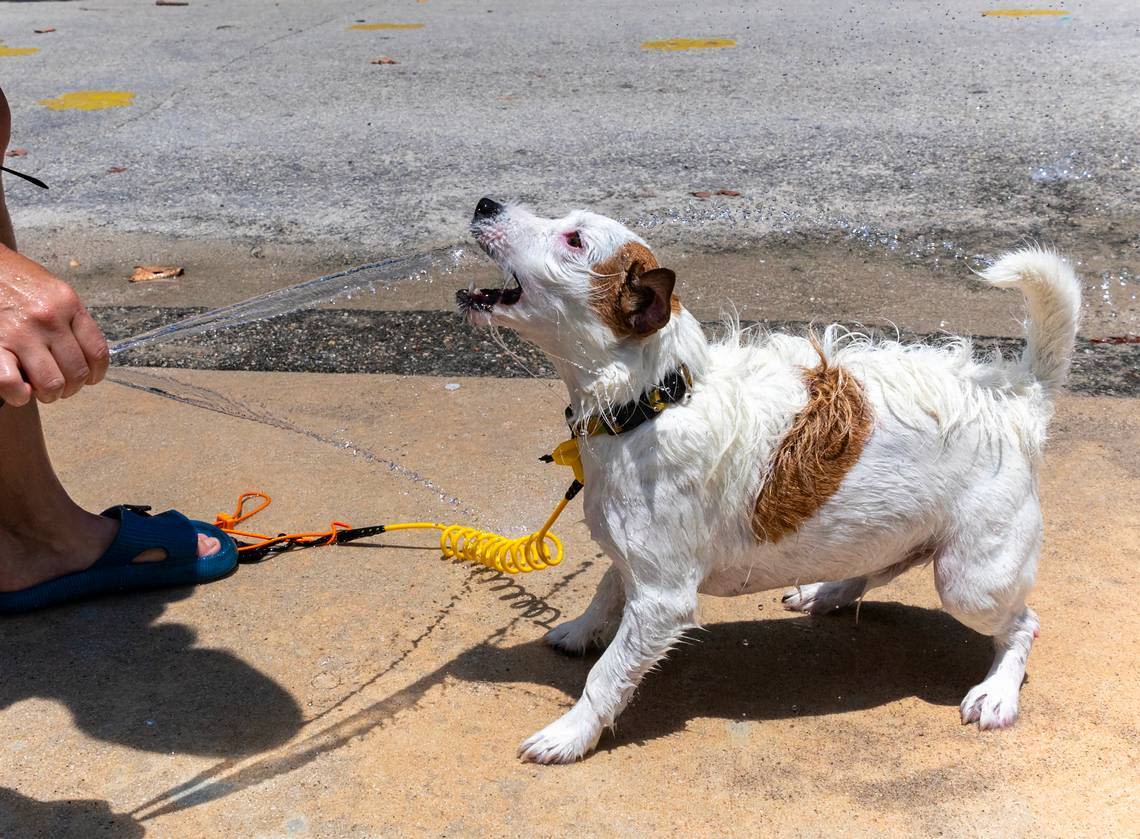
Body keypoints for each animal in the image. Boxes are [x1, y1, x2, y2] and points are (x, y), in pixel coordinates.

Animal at [456, 198, 1076, 766]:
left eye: (574, 240)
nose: (486, 203)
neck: (653, 401)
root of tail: (1015, 400)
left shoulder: (662, 600)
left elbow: (608, 676)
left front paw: (570, 733)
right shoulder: (639, 562)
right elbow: (607, 587)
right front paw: (583, 630)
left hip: (971, 581)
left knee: (1023, 625)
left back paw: (997, 692)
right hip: (889, 531)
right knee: (878, 565)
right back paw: (825, 592)